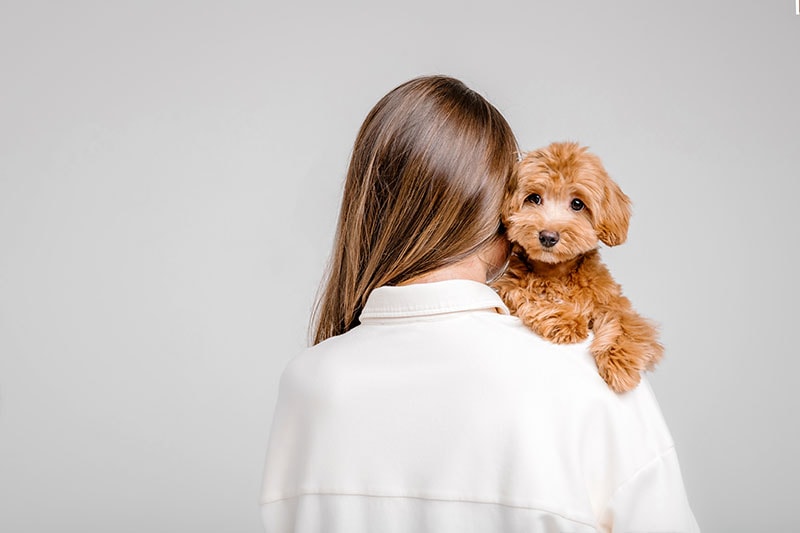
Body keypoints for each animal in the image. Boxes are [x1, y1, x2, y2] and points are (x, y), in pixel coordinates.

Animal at [494, 141, 664, 390]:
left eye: (577, 204)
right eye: (534, 198)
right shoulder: (507, 285)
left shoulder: (611, 302)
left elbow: (625, 323)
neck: (557, 271)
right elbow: (528, 293)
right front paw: (567, 320)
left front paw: (620, 363)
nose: (548, 236)